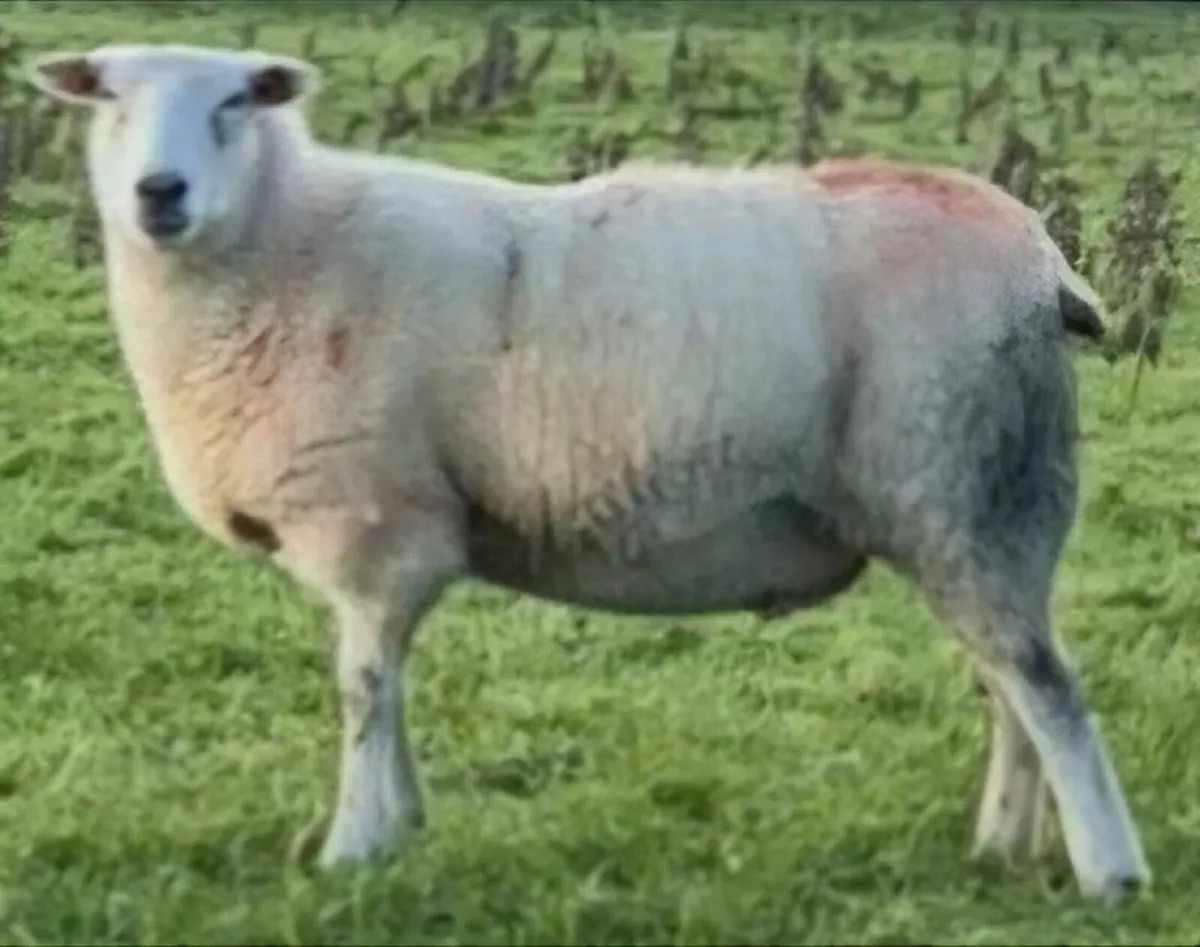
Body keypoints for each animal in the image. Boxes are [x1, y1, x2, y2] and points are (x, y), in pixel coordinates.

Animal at [26, 42, 1149, 902]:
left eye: (233, 102)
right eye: (109, 98)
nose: (158, 194)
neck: (285, 243)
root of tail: (1041, 259)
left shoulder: (375, 524)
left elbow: (362, 688)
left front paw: (354, 847)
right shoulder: (400, 535)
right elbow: (387, 686)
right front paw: (400, 825)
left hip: (959, 477)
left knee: (1047, 689)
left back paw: (1111, 872)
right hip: (973, 503)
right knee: (1010, 681)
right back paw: (1002, 846)